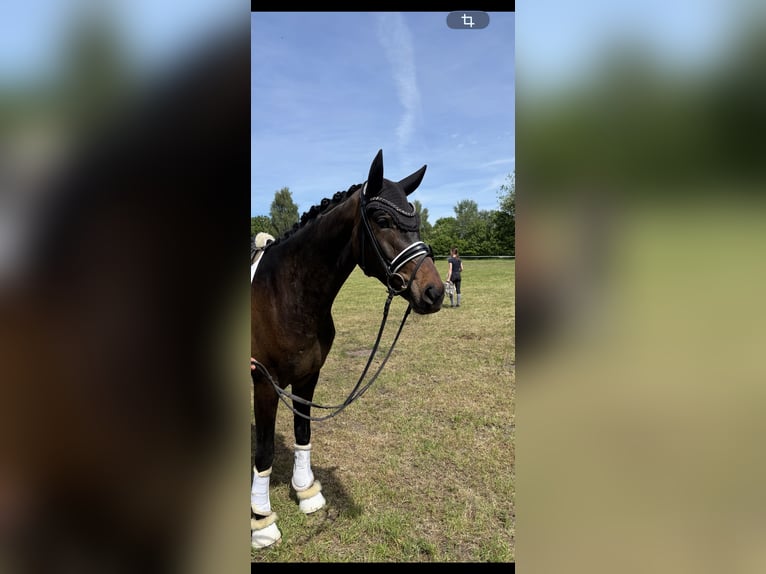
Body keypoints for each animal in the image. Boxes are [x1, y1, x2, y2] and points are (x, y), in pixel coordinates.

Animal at [250, 149, 445, 549]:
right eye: (383, 220)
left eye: (416, 221)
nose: (434, 292)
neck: (286, 294)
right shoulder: (265, 383)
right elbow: (264, 450)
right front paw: (261, 523)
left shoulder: (308, 376)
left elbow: (303, 432)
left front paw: (306, 493)